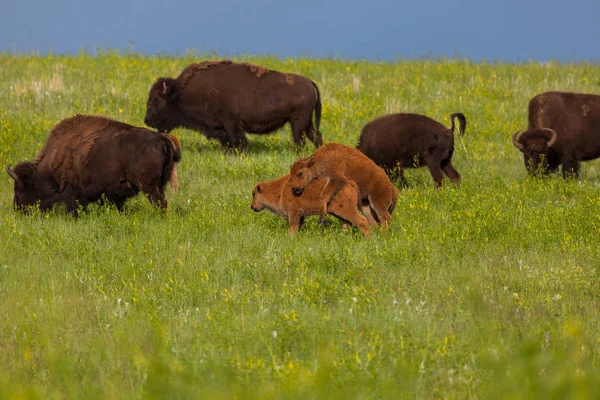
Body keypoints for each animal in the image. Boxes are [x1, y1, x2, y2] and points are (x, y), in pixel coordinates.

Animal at [5, 114, 180, 217]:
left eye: (18, 189)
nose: (18, 210)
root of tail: (161, 138)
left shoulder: (72, 192)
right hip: (159, 185)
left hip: (149, 187)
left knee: (160, 203)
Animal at [144, 60, 324, 151]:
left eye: (156, 100)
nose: (147, 120)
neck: (180, 93)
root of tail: (310, 82)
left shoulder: (231, 123)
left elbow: (236, 141)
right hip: (306, 123)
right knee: (316, 137)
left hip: (298, 123)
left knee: (300, 140)